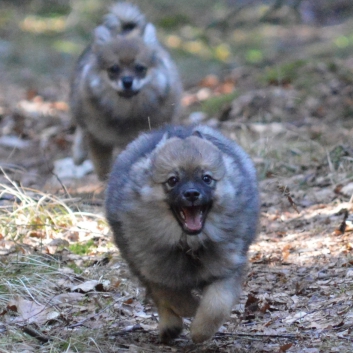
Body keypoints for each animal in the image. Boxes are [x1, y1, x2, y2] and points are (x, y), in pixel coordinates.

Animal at [70, 2, 183, 179]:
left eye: (140, 68)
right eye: (114, 69)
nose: (127, 82)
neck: (125, 114)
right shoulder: (98, 138)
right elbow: (103, 168)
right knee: (80, 127)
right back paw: (78, 154)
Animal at [104, 125, 258, 342]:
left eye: (206, 178)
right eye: (173, 180)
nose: (192, 193)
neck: (189, 244)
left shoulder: (227, 268)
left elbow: (216, 305)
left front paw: (200, 330)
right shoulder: (155, 271)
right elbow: (173, 297)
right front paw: (191, 309)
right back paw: (170, 326)